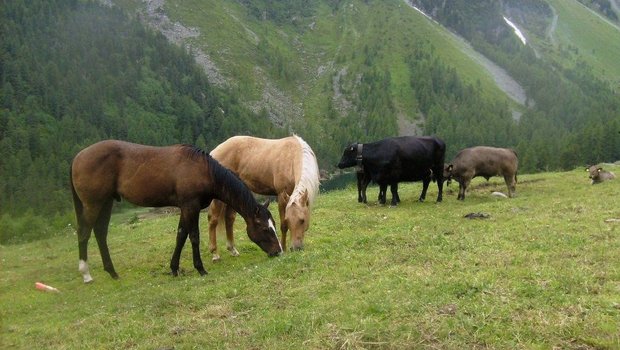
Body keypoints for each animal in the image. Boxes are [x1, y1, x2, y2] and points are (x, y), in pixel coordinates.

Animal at [70, 138, 280, 284]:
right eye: (265, 229)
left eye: (274, 226)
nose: (278, 251)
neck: (202, 170)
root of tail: (78, 157)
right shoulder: (190, 206)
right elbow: (193, 236)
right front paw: (200, 268)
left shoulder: (185, 208)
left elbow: (180, 235)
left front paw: (174, 268)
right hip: (93, 204)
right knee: (84, 233)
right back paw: (86, 274)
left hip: (106, 203)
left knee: (100, 233)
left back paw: (112, 272)